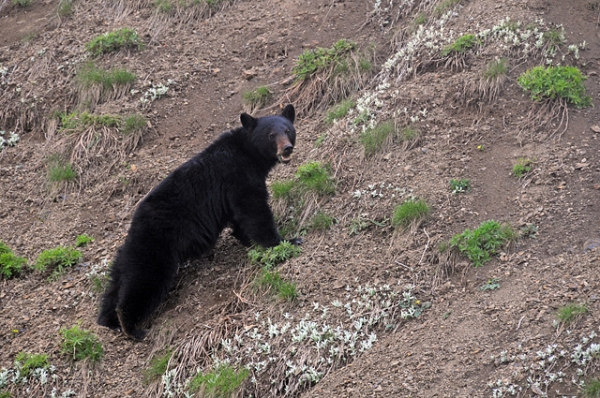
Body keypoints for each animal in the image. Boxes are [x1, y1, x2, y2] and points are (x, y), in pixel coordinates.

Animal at [99, 104, 304, 340]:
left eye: (288, 130)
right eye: (271, 135)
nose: (286, 148)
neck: (248, 153)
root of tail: (132, 227)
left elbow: (239, 218)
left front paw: (247, 240)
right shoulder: (238, 176)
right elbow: (254, 210)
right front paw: (286, 241)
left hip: (125, 257)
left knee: (115, 284)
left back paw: (109, 321)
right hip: (155, 246)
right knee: (143, 280)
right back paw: (131, 327)